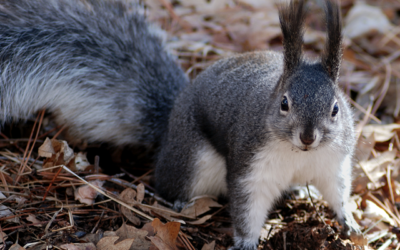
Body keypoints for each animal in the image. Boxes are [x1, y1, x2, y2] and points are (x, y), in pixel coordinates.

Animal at [0, 0, 360, 250]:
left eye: (336, 108)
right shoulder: (251, 166)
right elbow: (247, 207)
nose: (308, 136)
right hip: (193, 160)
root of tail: (172, 121)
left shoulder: (333, 163)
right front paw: (245, 242)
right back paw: (178, 202)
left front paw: (350, 221)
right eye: (284, 103)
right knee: (169, 182)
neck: (298, 154)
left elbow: (338, 191)